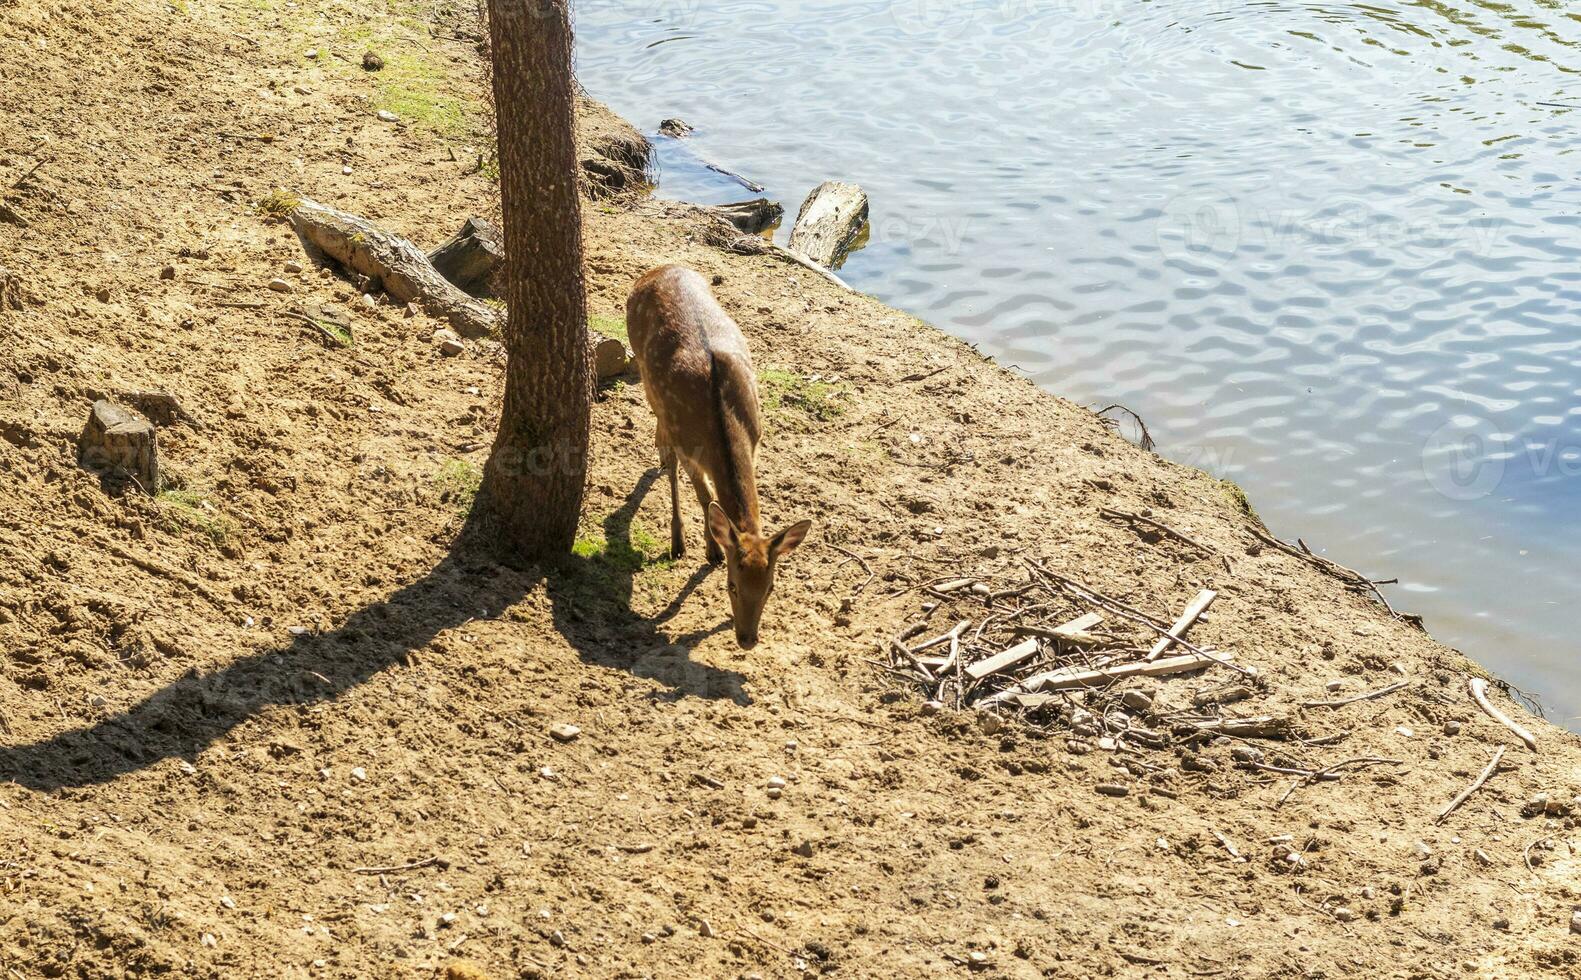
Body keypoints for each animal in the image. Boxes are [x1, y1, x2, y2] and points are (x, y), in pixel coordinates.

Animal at [626, 263, 815, 648]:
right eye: (732, 586)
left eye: (770, 587)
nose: (747, 639)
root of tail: (657, 269)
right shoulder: (688, 446)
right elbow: (705, 496)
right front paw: (708, 549)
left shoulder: (756, 439)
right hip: (643, 368)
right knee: (664, 443)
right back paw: (676, 532)